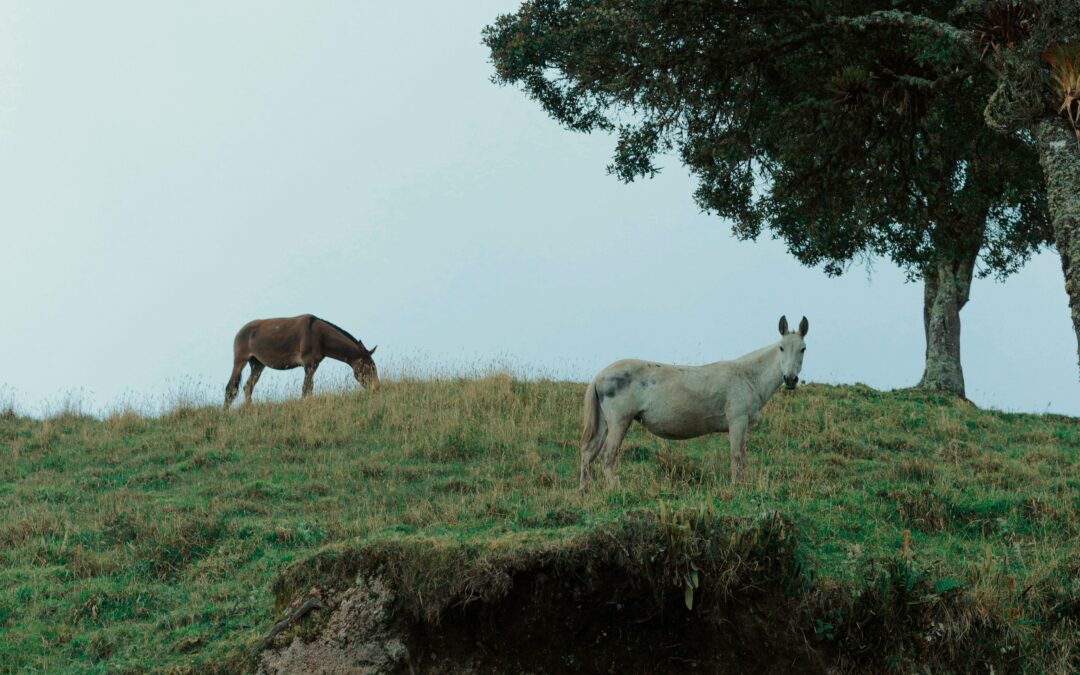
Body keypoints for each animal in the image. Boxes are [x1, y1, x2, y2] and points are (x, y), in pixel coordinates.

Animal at [223, 315, 380, 408]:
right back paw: (226, 411)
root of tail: (240, 331)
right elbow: (306, 388)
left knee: (248, 386)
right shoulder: (309, 364)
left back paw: (249, 408)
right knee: (231, 388)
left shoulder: (314, 365)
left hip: (257, 364)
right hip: (241, 361)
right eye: (370, 368)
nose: (377, 389)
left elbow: (309, 388)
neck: (319, 335)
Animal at [578, 315, 807, 490]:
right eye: (781, 348)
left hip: (605, 424)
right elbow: (737, 456)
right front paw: (737, 487)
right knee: (606, 456)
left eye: (803, 348)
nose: (790, 379)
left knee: (588, 454)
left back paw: (584, 490)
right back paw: (615, 488)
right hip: (619, 422)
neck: (748, 376)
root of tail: (600, 375)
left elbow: (741, 456)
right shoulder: (737, 421)